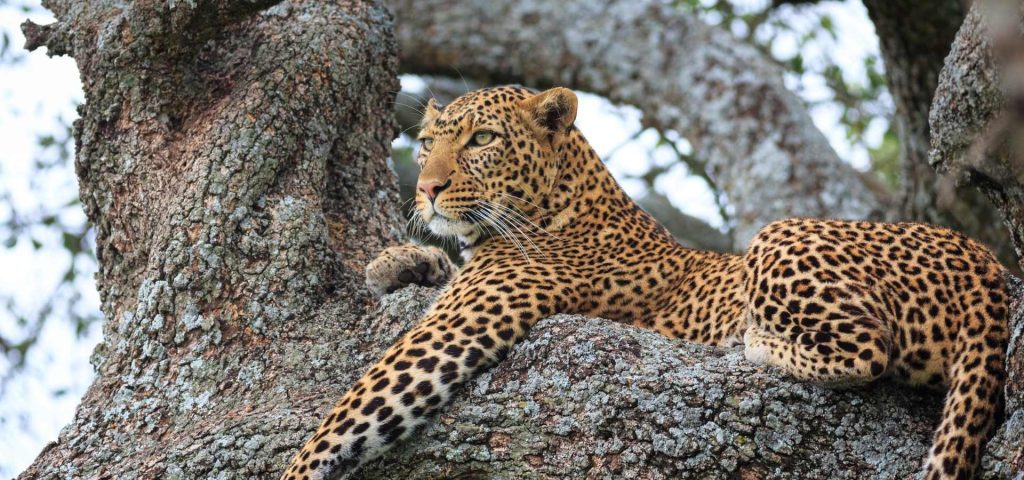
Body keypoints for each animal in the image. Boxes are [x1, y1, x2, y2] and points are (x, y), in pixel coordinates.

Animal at [282, 86, 1009, 480]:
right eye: (427, 140)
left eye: (481, 140)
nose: (427, 189)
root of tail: (985, 263)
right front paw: (399, 261)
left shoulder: (453, 330)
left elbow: (342, 421)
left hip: (779, 236)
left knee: (869, 351)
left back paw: (757, 342)